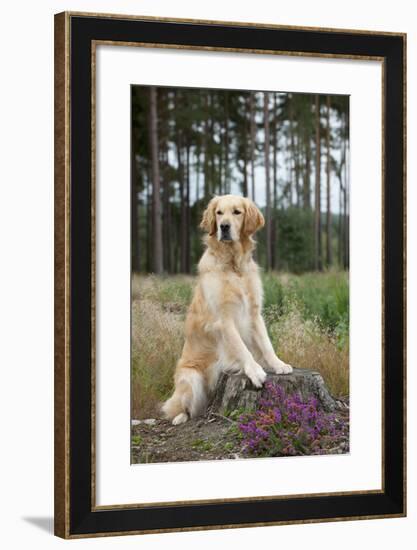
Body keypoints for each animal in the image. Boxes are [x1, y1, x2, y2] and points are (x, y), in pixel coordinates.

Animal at [161, 194, 290, 426]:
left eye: (237, 212)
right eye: (219, 213)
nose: (224, 227)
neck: (233, 264)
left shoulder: (254, 314)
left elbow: (266, 344)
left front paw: (278, 364)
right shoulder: (223, 319)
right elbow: (241, 347)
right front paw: (255, 371)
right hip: (191, 379)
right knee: (186, 408)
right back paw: (179, 418)